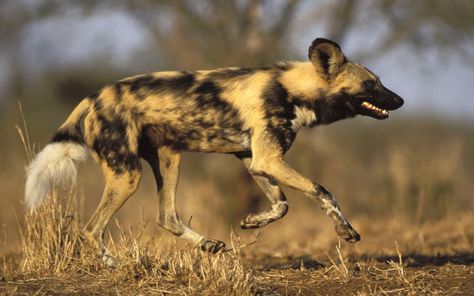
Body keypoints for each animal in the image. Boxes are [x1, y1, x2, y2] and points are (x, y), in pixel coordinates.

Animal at [25, 38, 404, 262]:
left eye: (380, 81)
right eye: (371, 84)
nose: (400, 100)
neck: (291, 89)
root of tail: (91, 98)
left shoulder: (256, 159)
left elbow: (282, 205)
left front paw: (253, 222)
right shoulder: (268, 159)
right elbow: (322, 191)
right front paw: (346, 231)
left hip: (168, 158)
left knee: (167, 216)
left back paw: (209, 244)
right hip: (127, 174)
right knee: (92, 229)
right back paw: (110, 263)